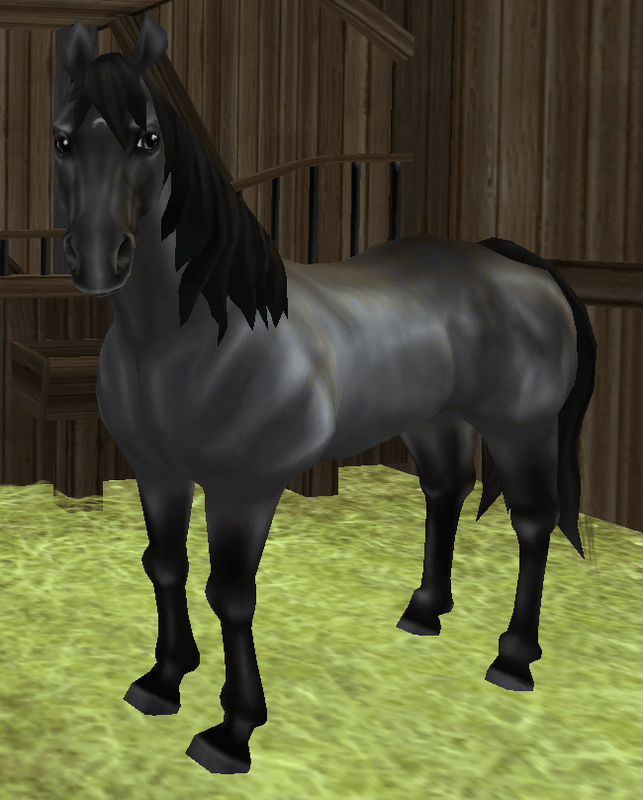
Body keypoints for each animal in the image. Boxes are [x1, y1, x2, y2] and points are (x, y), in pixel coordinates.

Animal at [55, 14, 597, 775]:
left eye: (148, 139)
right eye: (63, 139)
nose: (102, 259)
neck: (188, 339)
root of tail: (509, 260)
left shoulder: (242, 488)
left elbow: (230, 595)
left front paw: (232, 731)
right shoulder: (156, 472)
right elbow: (164, 566)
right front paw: (161, 681)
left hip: (521, 431)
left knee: (532, 522)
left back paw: (512, 659)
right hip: (434, 420)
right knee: (445, 492)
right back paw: (423, 612)